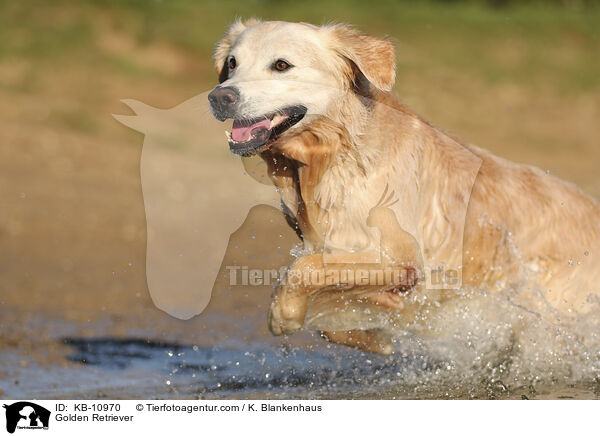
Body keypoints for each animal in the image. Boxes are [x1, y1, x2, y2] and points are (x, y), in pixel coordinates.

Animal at [207, 18, 600, 356]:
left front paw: (283, 317)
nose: (219, 97)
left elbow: (305, 269)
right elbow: (327, 305)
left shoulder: (401, 255)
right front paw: (373, 338)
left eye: (281, 65)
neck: (334, 154)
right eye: (232, 64)